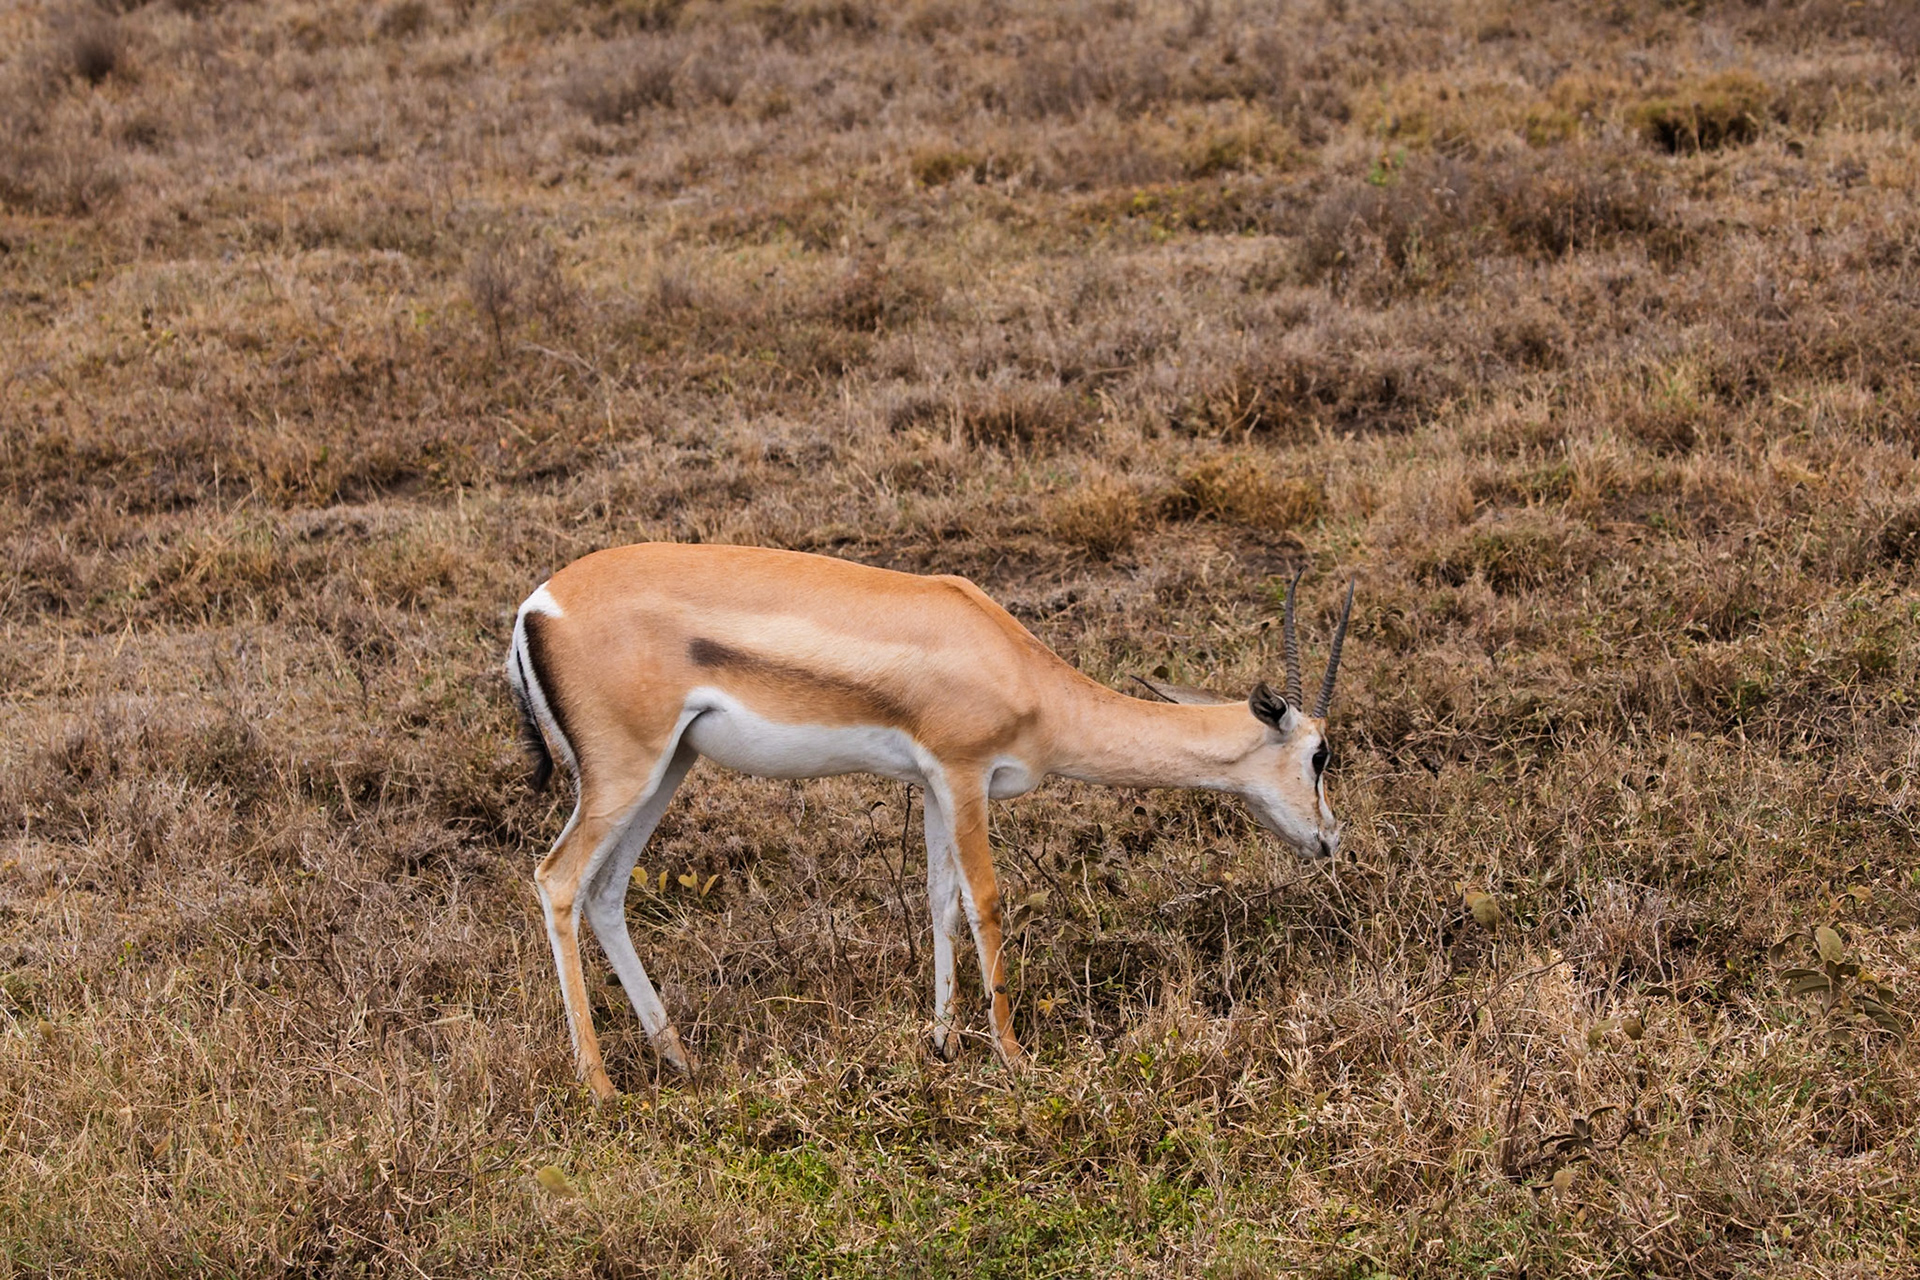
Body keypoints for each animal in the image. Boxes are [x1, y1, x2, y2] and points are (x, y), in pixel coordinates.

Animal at [506, 543, 1355, 1099]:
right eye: (1319, 755)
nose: (1329, 838)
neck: (1024, 674)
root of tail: (535, 605)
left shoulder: (935, 787)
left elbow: (939, 901)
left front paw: (944, 1042)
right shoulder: (964, 773)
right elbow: (985, 902)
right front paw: (1013, 1057)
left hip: (667, 767)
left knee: (607, 892)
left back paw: (679, 1060)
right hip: (627, 772)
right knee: (556, 879)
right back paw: (601, 1087)